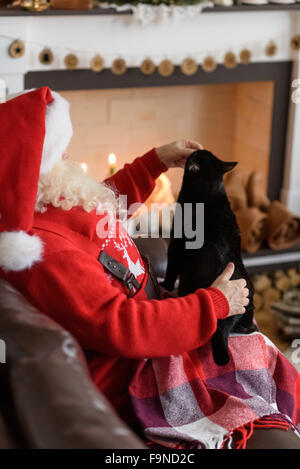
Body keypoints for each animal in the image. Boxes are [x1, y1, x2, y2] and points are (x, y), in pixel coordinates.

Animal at [163, 150, 256, 366]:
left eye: (198, 155)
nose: (195, 150)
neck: (210, 192)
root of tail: (224, 320)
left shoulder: (175, 245)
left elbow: (170, 270)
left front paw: (166, 286)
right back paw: (247, 328)